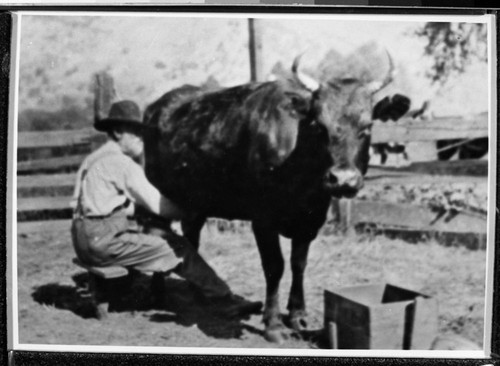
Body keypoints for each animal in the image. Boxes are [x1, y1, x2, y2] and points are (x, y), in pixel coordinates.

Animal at [142, 55, 410, 344]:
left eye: (367, 127)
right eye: (319, 126)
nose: (343, 179)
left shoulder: (311, 220)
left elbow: (298, 264)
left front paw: (297, 315)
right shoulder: (263, 219)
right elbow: (275, 267)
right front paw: (273, 324)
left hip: (196, 204)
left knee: (190, 241)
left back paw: (198, 295)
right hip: (155, 197)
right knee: (159, 235)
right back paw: (156, 293)